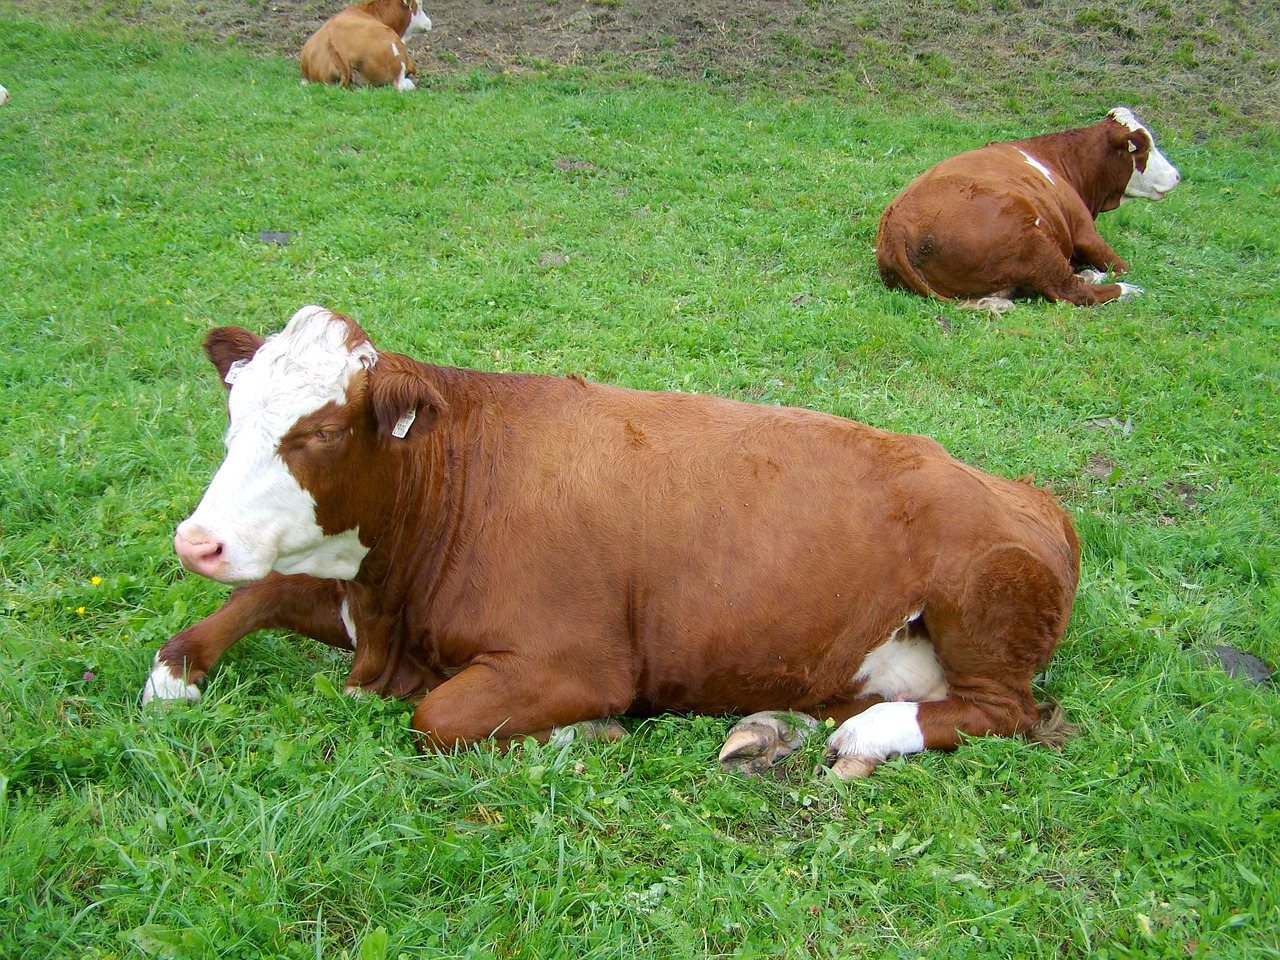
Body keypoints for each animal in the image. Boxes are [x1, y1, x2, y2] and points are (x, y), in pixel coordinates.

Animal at [140, 308, 1080, 783]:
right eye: (232, 409)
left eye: (325, 431)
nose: (197, 542)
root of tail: (1024, 490)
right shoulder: (368, 601)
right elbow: (261, 593)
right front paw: (174, 672)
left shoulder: (579, 662)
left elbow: (435, 718)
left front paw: (583, 738)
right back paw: (774, 727)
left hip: (982, 599)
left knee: (1005, 711)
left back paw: (870, 737)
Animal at [875, 110, 1182, 309]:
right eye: (1144, 148)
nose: (1177, 175)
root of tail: (895, 222)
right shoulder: (1084, 231)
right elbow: (1121, 267)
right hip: (1032, 240)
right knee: (1073, 292)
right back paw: (1130, 291)